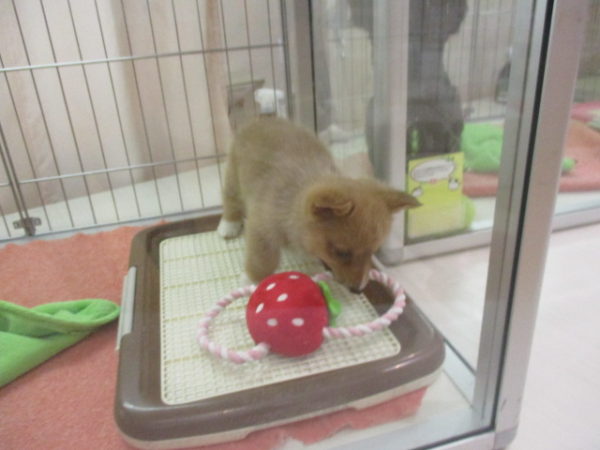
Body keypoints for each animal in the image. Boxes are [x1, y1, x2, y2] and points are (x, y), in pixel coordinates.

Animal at [217, 117, 420, 292]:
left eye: (373, 251)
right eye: (342, 252)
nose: (358, 290)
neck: (293, 205)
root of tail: (262, 119)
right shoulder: (262, 229)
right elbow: (263, 259)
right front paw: (253, 280)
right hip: (233, 177)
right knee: (230, 200)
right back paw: (228, 225)